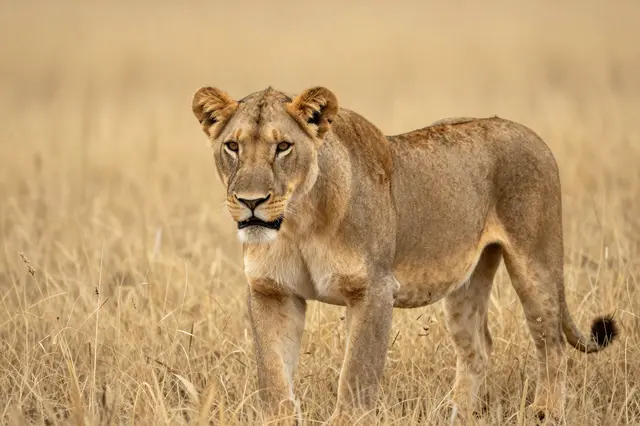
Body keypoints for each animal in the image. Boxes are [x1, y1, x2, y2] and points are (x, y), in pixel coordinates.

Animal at [190, 86, 618, 423]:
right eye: (233, 146)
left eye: (283, 147)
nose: (251, 202)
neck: (298, 223)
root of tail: (529, 133)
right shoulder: (272, 291)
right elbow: (273, 375)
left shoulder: (375, 289)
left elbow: (357, 376)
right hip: (466, 281)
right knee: (478, 347)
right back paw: (454, 415)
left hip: (536, 261)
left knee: (551, 343)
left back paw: (546, 413)